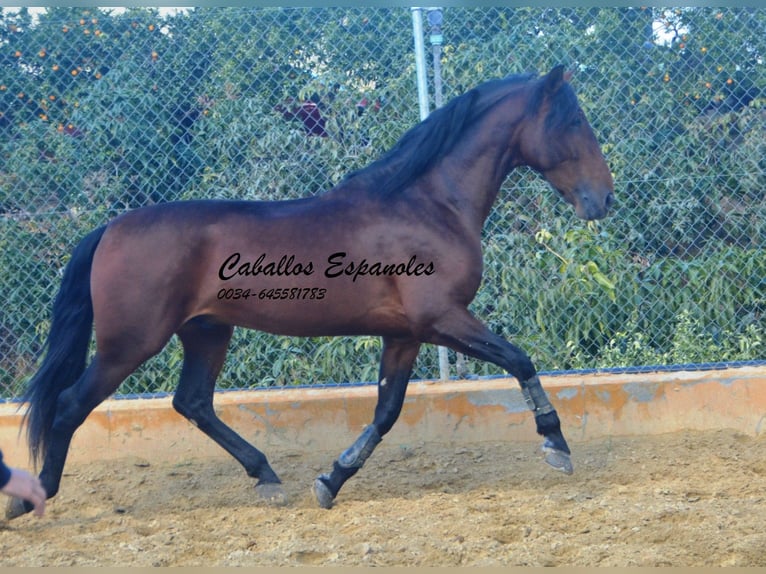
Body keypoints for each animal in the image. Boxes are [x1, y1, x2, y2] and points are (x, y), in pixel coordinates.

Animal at [6, 65, 616, 520]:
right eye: (574, 119)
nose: (604, 199)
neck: (428, 204)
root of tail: (109, 228)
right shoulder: (443, 318)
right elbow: (519, 359)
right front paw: (556, 446)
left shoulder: (404, 334)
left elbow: (387, 411)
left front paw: (330, 480)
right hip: (130, 343)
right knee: (70, 405)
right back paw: (32, 500)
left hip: (206, 331)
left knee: (192, 402)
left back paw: (267, 476)